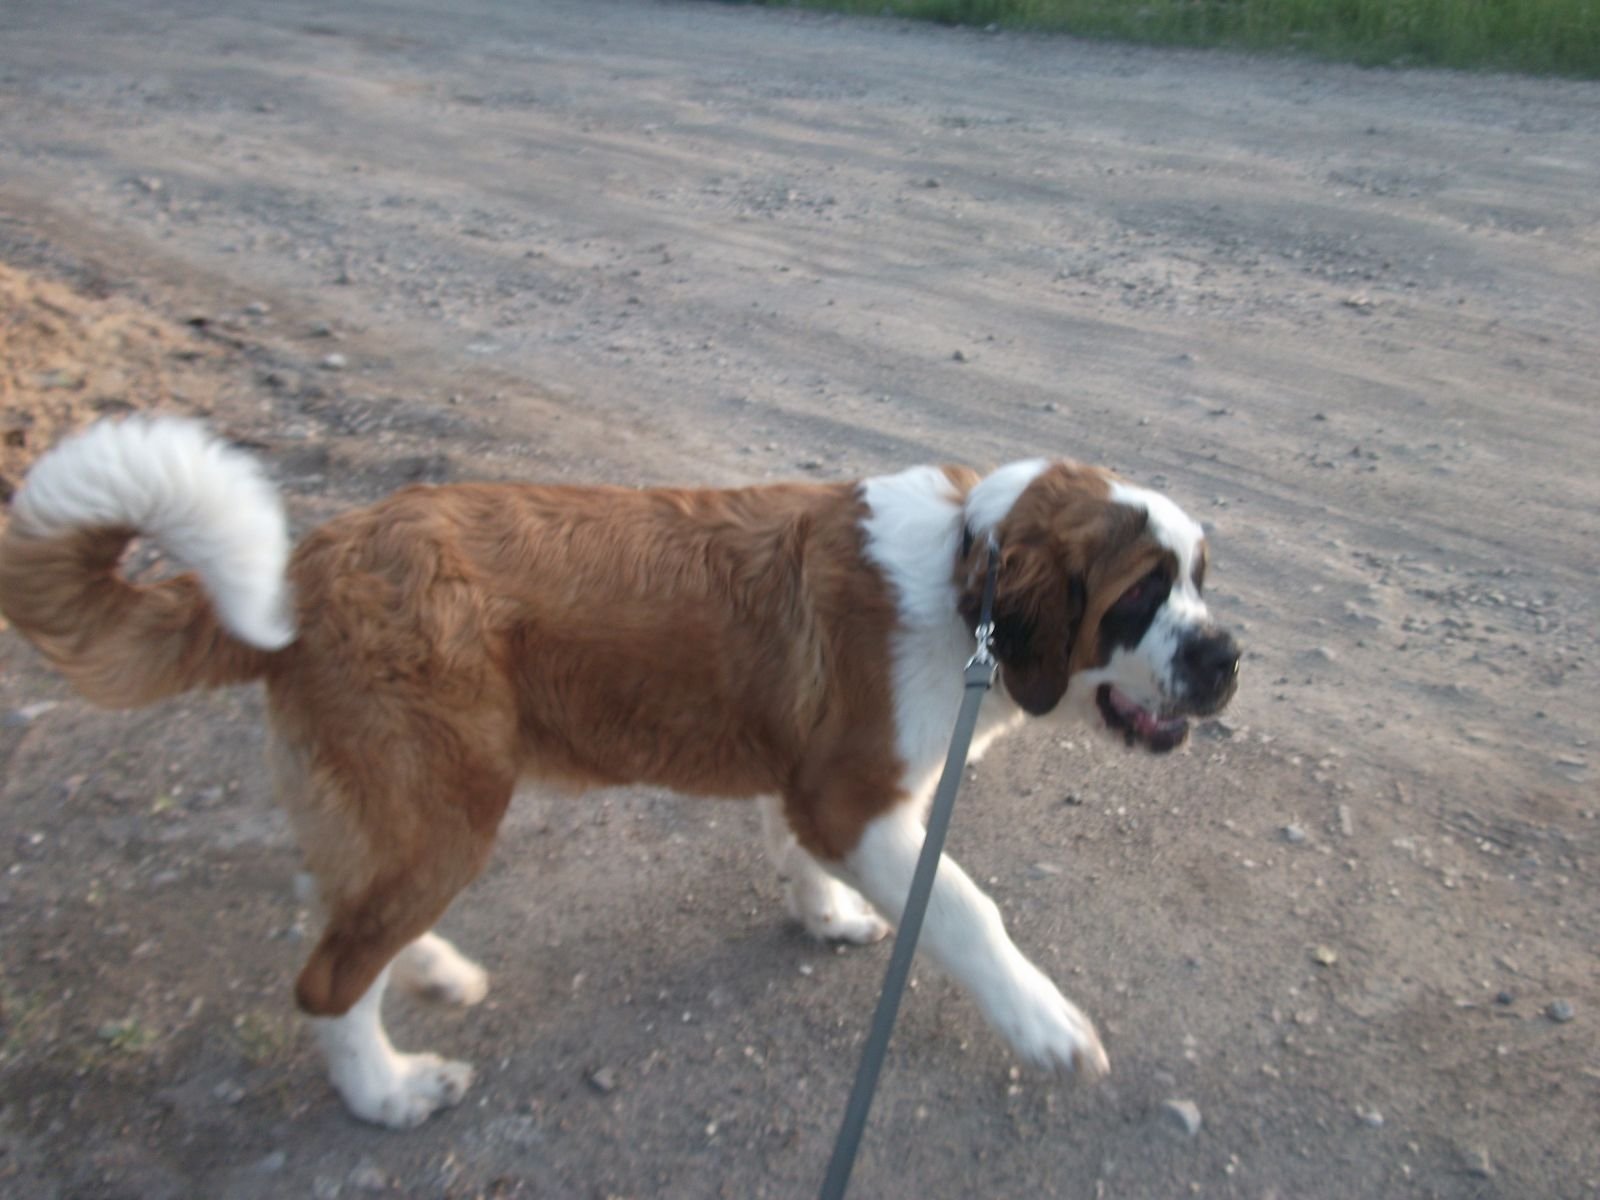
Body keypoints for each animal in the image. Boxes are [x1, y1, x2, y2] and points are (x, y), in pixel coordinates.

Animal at [0, 417, 1239, 1128]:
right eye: (1140, 594)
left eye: (1200, 582)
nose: (1228, 658)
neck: (963, 578)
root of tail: (309, 561)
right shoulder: (853, 797)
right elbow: (971, 913)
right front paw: (1045, 1026)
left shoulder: (816, 787)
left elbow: (803, 850)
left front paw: (824, 913)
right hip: (448, 804)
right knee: (326, 976)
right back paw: (387, 1090)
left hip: (399, 806)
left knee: (338, 901)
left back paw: (426, 968)